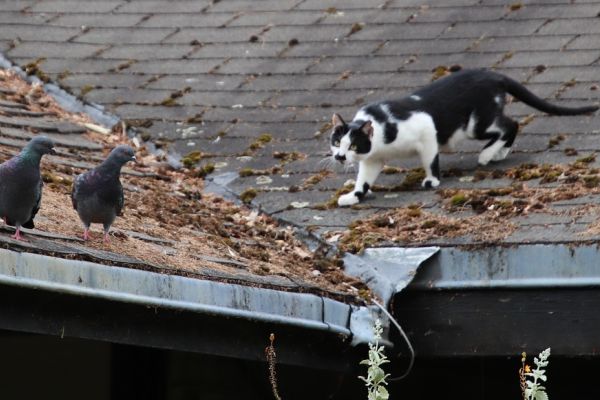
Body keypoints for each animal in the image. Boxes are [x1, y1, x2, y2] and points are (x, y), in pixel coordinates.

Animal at [330, 69, 596, 206]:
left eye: (353, 145)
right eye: (336, 142)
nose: (340, 157)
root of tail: (492, 74)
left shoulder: (426, 129)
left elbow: (430, 159)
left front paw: (432, 180)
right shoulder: (372, 159)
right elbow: (364, 180)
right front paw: (353, 196)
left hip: (476, 124)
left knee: (511, 124)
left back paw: (487, 154)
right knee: (510, 125)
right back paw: (499, 153)